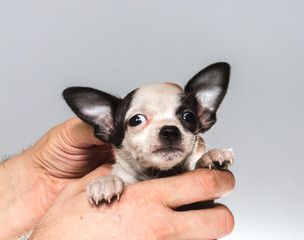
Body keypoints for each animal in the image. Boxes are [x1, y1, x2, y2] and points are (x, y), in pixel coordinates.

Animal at [62, 61, 233, 204]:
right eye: (136, 120)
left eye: (189, 117)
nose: (170, 130)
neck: (157, 175)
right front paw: (105, 181)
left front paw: (209, 157)